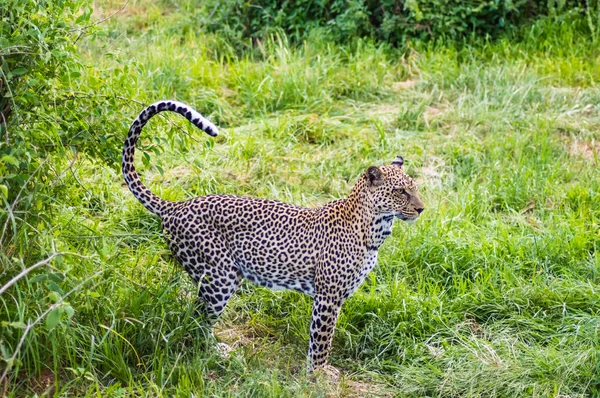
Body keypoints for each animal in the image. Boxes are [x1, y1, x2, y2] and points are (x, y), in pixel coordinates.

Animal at [122, 100, 424, 374]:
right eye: (400, 191)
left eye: (415, 188)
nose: (422, 208)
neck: (376, 229)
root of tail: (175, 206)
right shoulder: (328, 297)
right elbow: (321, 340)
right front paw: (319, 375)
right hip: (220, 276)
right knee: (196, 319)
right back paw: (215, 354)